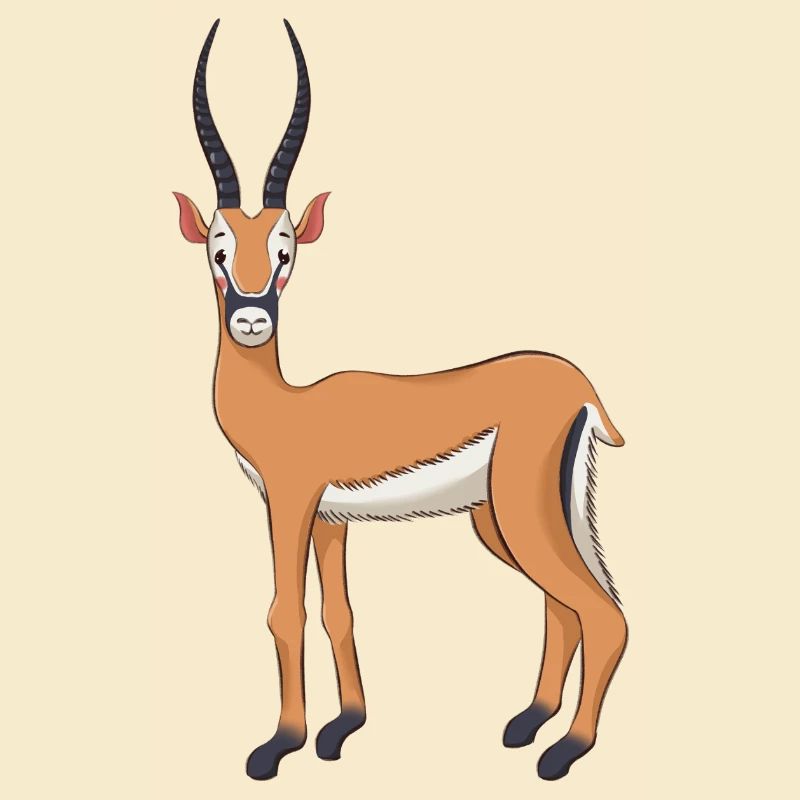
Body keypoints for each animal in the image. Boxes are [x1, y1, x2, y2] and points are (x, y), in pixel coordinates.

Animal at [175, 19, 628, 783]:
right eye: (217, 247)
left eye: (286, 249)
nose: (251, 319)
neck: (286, 405)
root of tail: (581, 388)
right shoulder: (331, 519)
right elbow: (340, 612)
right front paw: (340, 731)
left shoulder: (290, 503)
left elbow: (285, 611)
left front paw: (277, 747)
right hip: (501, 520)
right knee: (562, 608)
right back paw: (528, 723)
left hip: (519, 515)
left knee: (599, 612)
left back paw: (564, 751)